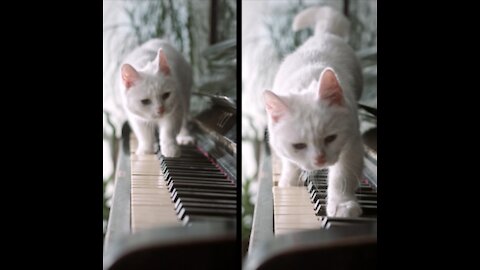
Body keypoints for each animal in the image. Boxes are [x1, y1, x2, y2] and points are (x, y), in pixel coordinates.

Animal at [262, 6, 364, 217]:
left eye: (331, 138)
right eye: (299, 145)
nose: (320, 159)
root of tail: (323, 34)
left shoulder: (352, 142)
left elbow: (343, 175)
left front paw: (342, 204)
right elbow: (291, 164)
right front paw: (289, 183)